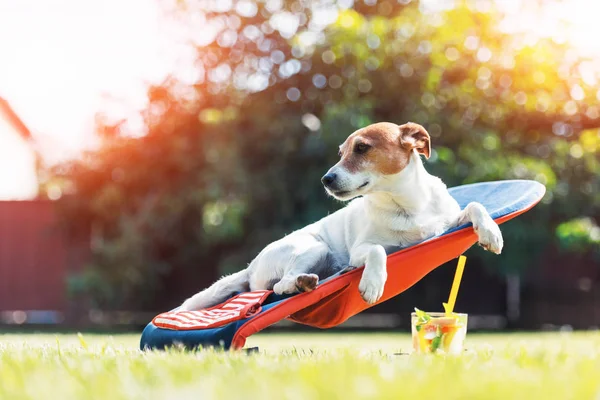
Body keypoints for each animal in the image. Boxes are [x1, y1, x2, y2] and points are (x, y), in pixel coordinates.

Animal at [180, 123, 504, 310]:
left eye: (362, 148)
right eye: (341, 152)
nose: (326, 179)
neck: (406, 205)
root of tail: (250, 267)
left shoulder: (446, 222)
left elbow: (475, 206)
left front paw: (491, 233)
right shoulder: (362, 249)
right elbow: (377, 250)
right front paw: (373, 283)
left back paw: (307, 282)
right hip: (314, 247)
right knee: (280, 285)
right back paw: (299, 283)